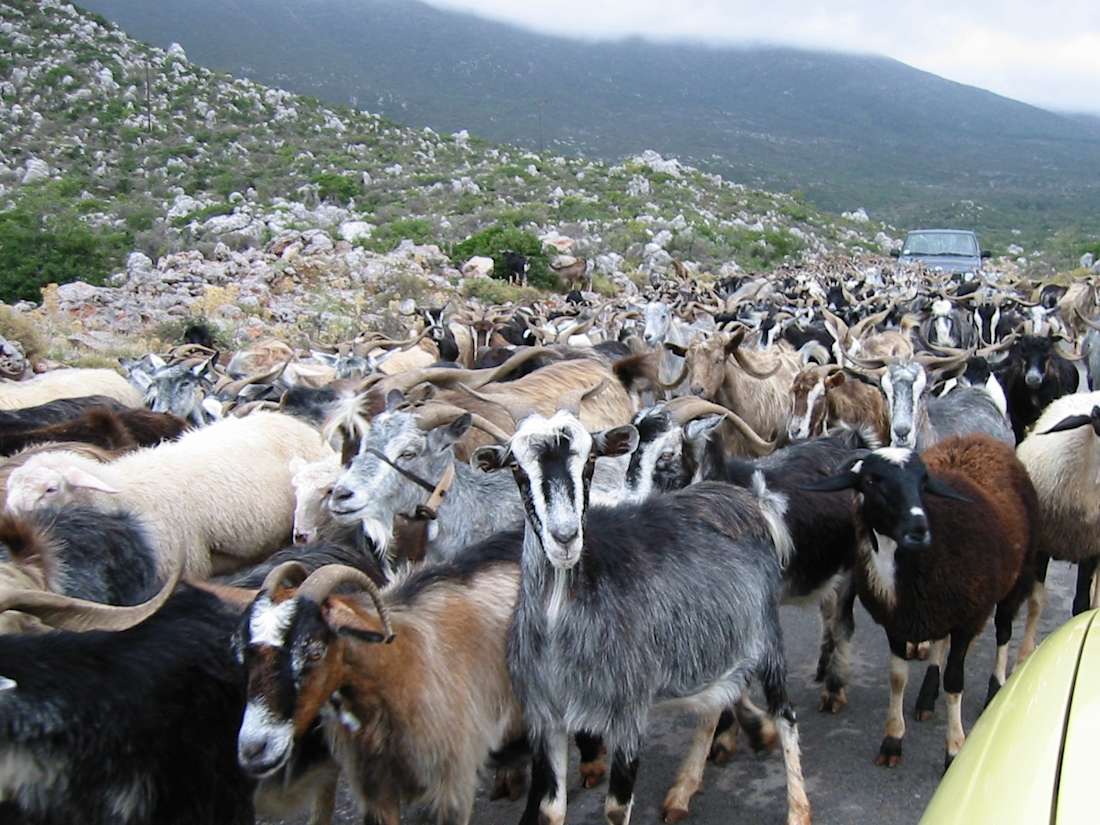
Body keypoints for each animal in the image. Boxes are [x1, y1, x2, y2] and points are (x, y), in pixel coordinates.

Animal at [474, 411, 811, 825]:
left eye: (590, 461)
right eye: (517, 469)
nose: (564, 537)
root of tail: (746, 499)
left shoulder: (627, 714)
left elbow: (616, 808)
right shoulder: (546, 719)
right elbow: (551, 810)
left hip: (767, 636)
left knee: (786, 715)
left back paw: (798, 810)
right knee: (715, 703)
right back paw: (682, 791)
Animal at [804, 436, 1036, 770]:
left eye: (923, 481)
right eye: (871, 481)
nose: (919, 530)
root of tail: (980, 439)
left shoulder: (967, 620)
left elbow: (955, 683)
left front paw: (954, 750)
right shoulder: (897, 621)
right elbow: (897, 678)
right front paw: (892, 740)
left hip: (1016, 577)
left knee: (1003, 633)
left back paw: (995, 688)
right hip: (938, 609)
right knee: (939, 643)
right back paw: (927, 697)